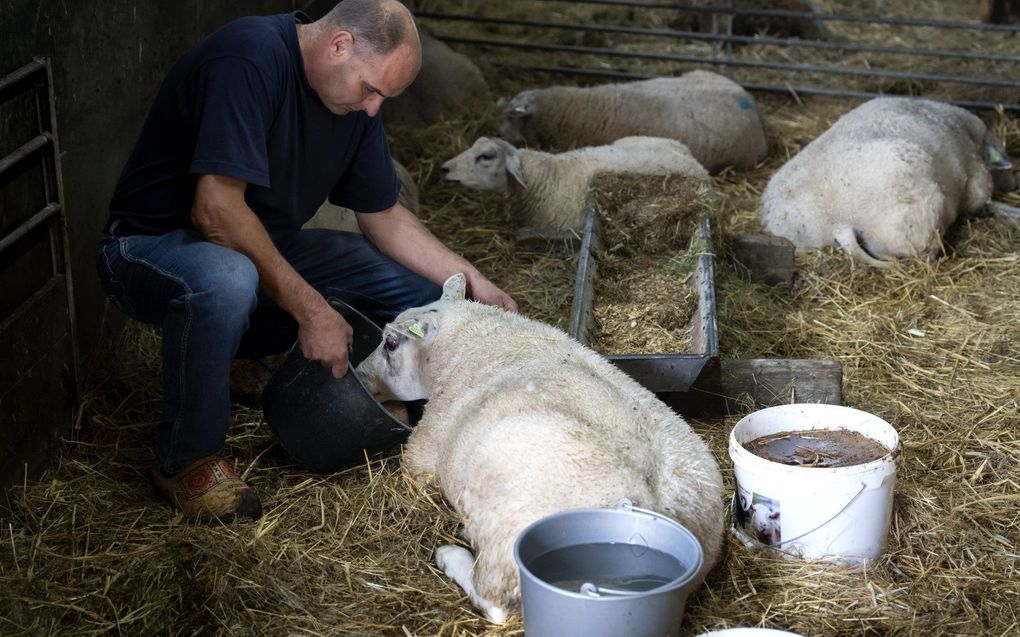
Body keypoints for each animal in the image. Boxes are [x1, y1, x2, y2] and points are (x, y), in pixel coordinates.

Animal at [359, 271, 726, 619]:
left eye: (389, 343)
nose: (359, 374)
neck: (470, 338)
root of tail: (655, 508)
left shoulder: (423, 452)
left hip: (505, 530)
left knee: (493, 602)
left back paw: (450, 555)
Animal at [758, 95, 1020, 267]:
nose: (1013, 181)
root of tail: (837, 220)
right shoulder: (975, 181)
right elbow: (985, 204)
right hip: (921, 223)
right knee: (923, 255)